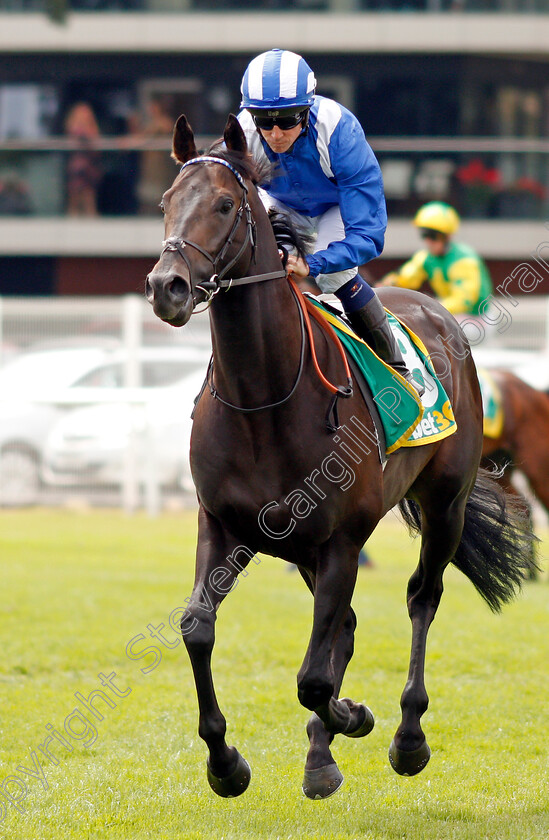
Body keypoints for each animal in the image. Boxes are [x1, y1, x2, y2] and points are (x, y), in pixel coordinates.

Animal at [144, 113, 532, 800]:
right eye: (166, 202)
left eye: (224, 204)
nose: (168, 287)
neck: (265, 398)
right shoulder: (224, 524)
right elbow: (197, 628)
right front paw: (226, 762)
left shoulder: (343, 540)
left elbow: (314, 678)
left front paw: (354, 717)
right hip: (306, 549)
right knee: (344, 627)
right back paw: (321, 756)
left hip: (445, 503)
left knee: (421, 596)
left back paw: (406, 737)